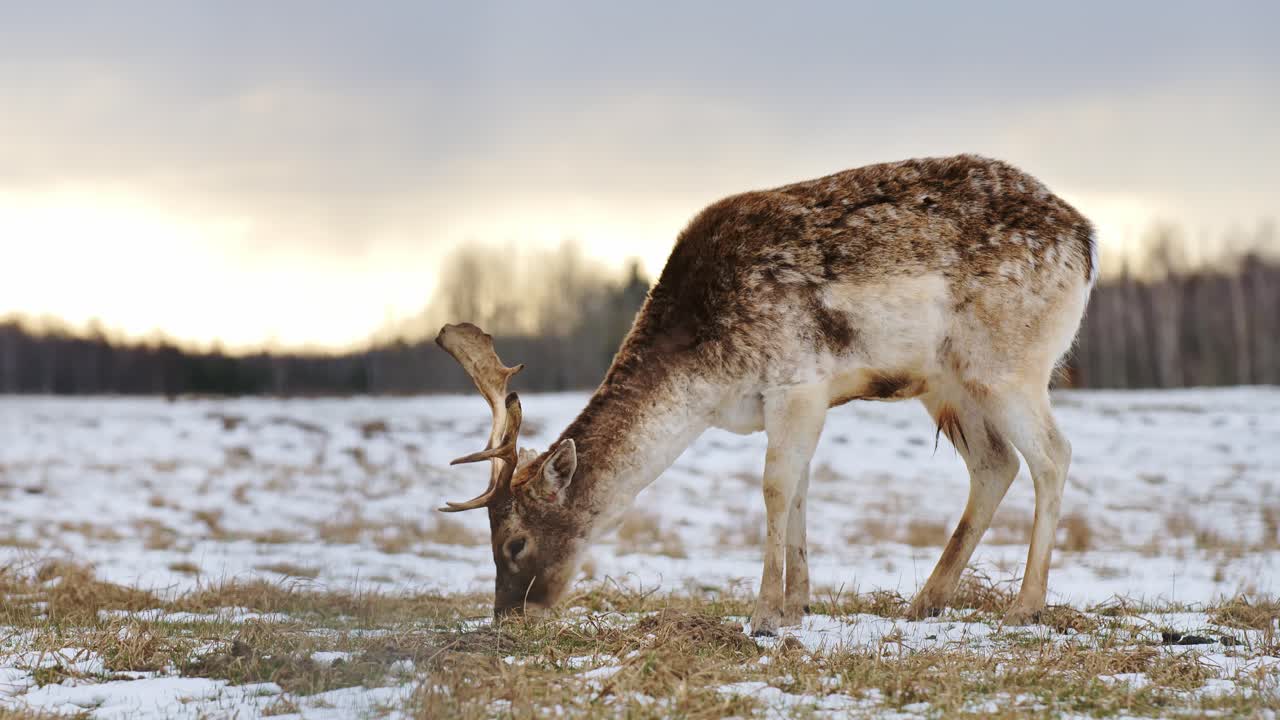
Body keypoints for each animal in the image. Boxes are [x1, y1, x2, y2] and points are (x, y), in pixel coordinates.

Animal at [436, 154, 1096, 636]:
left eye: (514, 541)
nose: (510, 618)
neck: (705, 383)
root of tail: (1086, 240)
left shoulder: (794, 381)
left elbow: (775, 488)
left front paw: (762, 616)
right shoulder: (808, 399)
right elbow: (800, 488)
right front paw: (798, 605)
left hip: (1008, 364)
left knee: (1053, 455)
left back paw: (1026, 606)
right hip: (948, 383)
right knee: (995, 464)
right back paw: (924, 602)